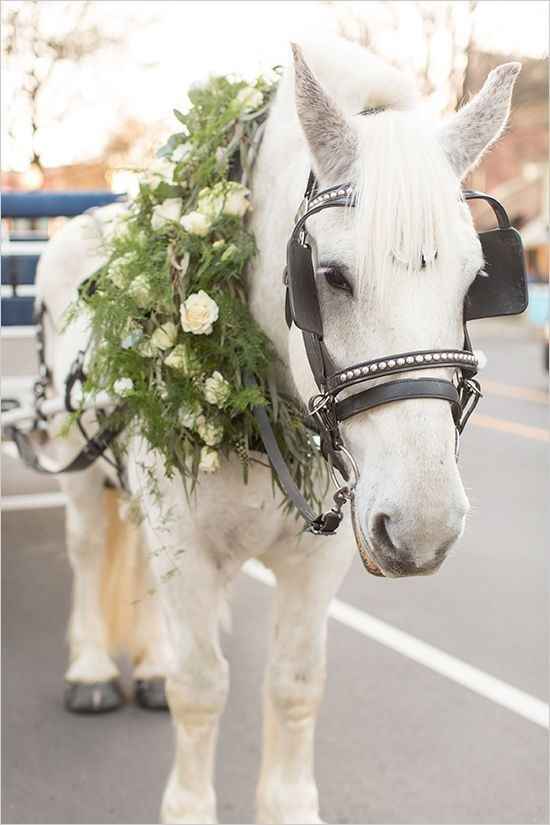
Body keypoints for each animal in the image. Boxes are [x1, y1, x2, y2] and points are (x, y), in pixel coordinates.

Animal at [35, 38, 520, 824]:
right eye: (331, 275)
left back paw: (147, 663)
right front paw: (188, 804)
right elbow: (201, 687)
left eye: (476, 278)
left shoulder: (319, 556)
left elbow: (295, 684)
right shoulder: (186, 540)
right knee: (85, 552)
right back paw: (91, 668)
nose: (423, 527)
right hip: (73, 459)